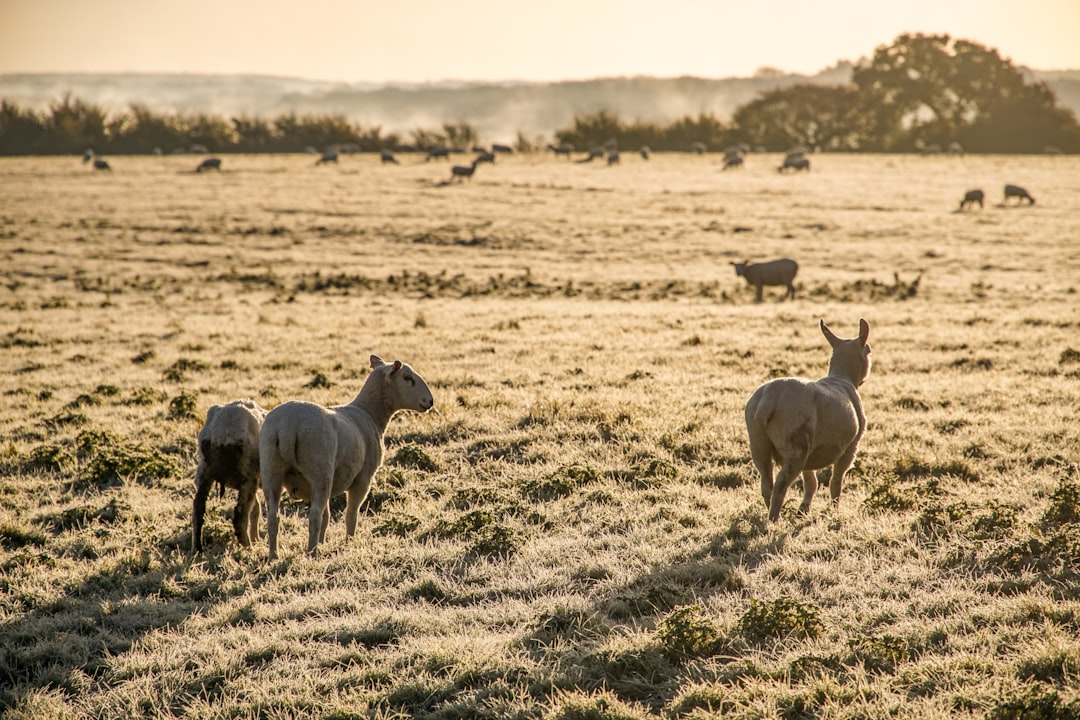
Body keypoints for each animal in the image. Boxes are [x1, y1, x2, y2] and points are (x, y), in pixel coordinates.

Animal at [192, 399, 265, 552]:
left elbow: (256, 508)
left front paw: (257, 539)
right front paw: (256, 541)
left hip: (205, 470)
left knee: (198, 510)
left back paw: (197, 548)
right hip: (248, 473)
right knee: (240, 514)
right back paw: (248, 548)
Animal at [260, 358, 434, 561]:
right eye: (407, 378)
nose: (430, 401)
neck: (370, 413)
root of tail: (288, 426)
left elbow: (328, 515)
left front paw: (323, 542)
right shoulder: (363, 478)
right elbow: (351, 514)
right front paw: (349, 543)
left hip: (271, 469)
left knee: (273, 517)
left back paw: (274, 555)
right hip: (320, 470)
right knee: (314, 516)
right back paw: (312, 553)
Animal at [747, 317, 872, 520]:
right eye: (869, 350)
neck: (842, 377)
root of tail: (769, 398)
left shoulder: (811, 453)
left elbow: (811, 482)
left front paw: (803, 510)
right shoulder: (850, 447)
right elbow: (836, 480)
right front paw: (834, 510)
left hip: (758, 442)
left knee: (766, 482)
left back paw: (769, 512)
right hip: (795, 443)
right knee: (781, 484)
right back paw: (774, 519)